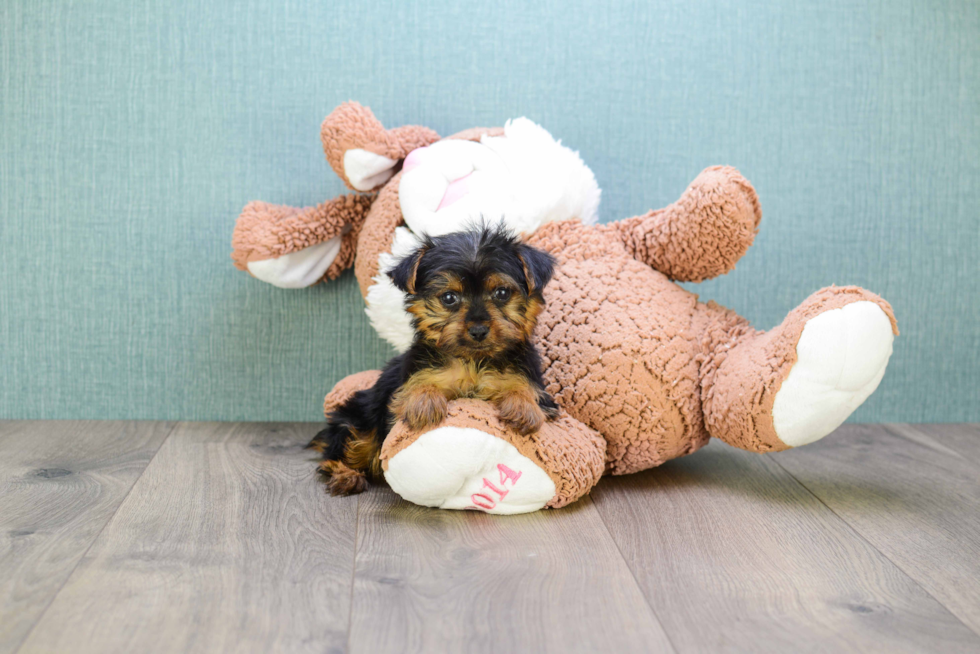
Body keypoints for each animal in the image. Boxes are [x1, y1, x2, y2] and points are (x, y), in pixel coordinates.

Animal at [314, 226, 560, 498]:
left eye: (502, 293)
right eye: (449, 297)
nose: (478, 330)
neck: (473, 361)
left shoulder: (532, 381)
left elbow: (524, 387)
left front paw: (522, 406)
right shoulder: (412, 376)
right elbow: (418, 385)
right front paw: (424, 402)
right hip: (361, 416)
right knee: (343, 446)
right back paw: (346, 476)